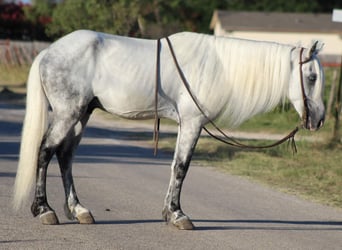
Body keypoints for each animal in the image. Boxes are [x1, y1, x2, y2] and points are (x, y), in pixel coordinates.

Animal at [12, 31, 324, 230]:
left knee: (65, 156)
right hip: (68, 114)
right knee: (45, 151)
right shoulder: (192, 123)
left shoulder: (187, 125)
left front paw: (169, 212)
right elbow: (182, 168)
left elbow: (175, 166)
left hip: (82, 115)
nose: (319, 119)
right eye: (311, 77)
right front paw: (178, 215)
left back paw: (78, 210)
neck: (218, 67)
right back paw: (45, 210)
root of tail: (49, 52)